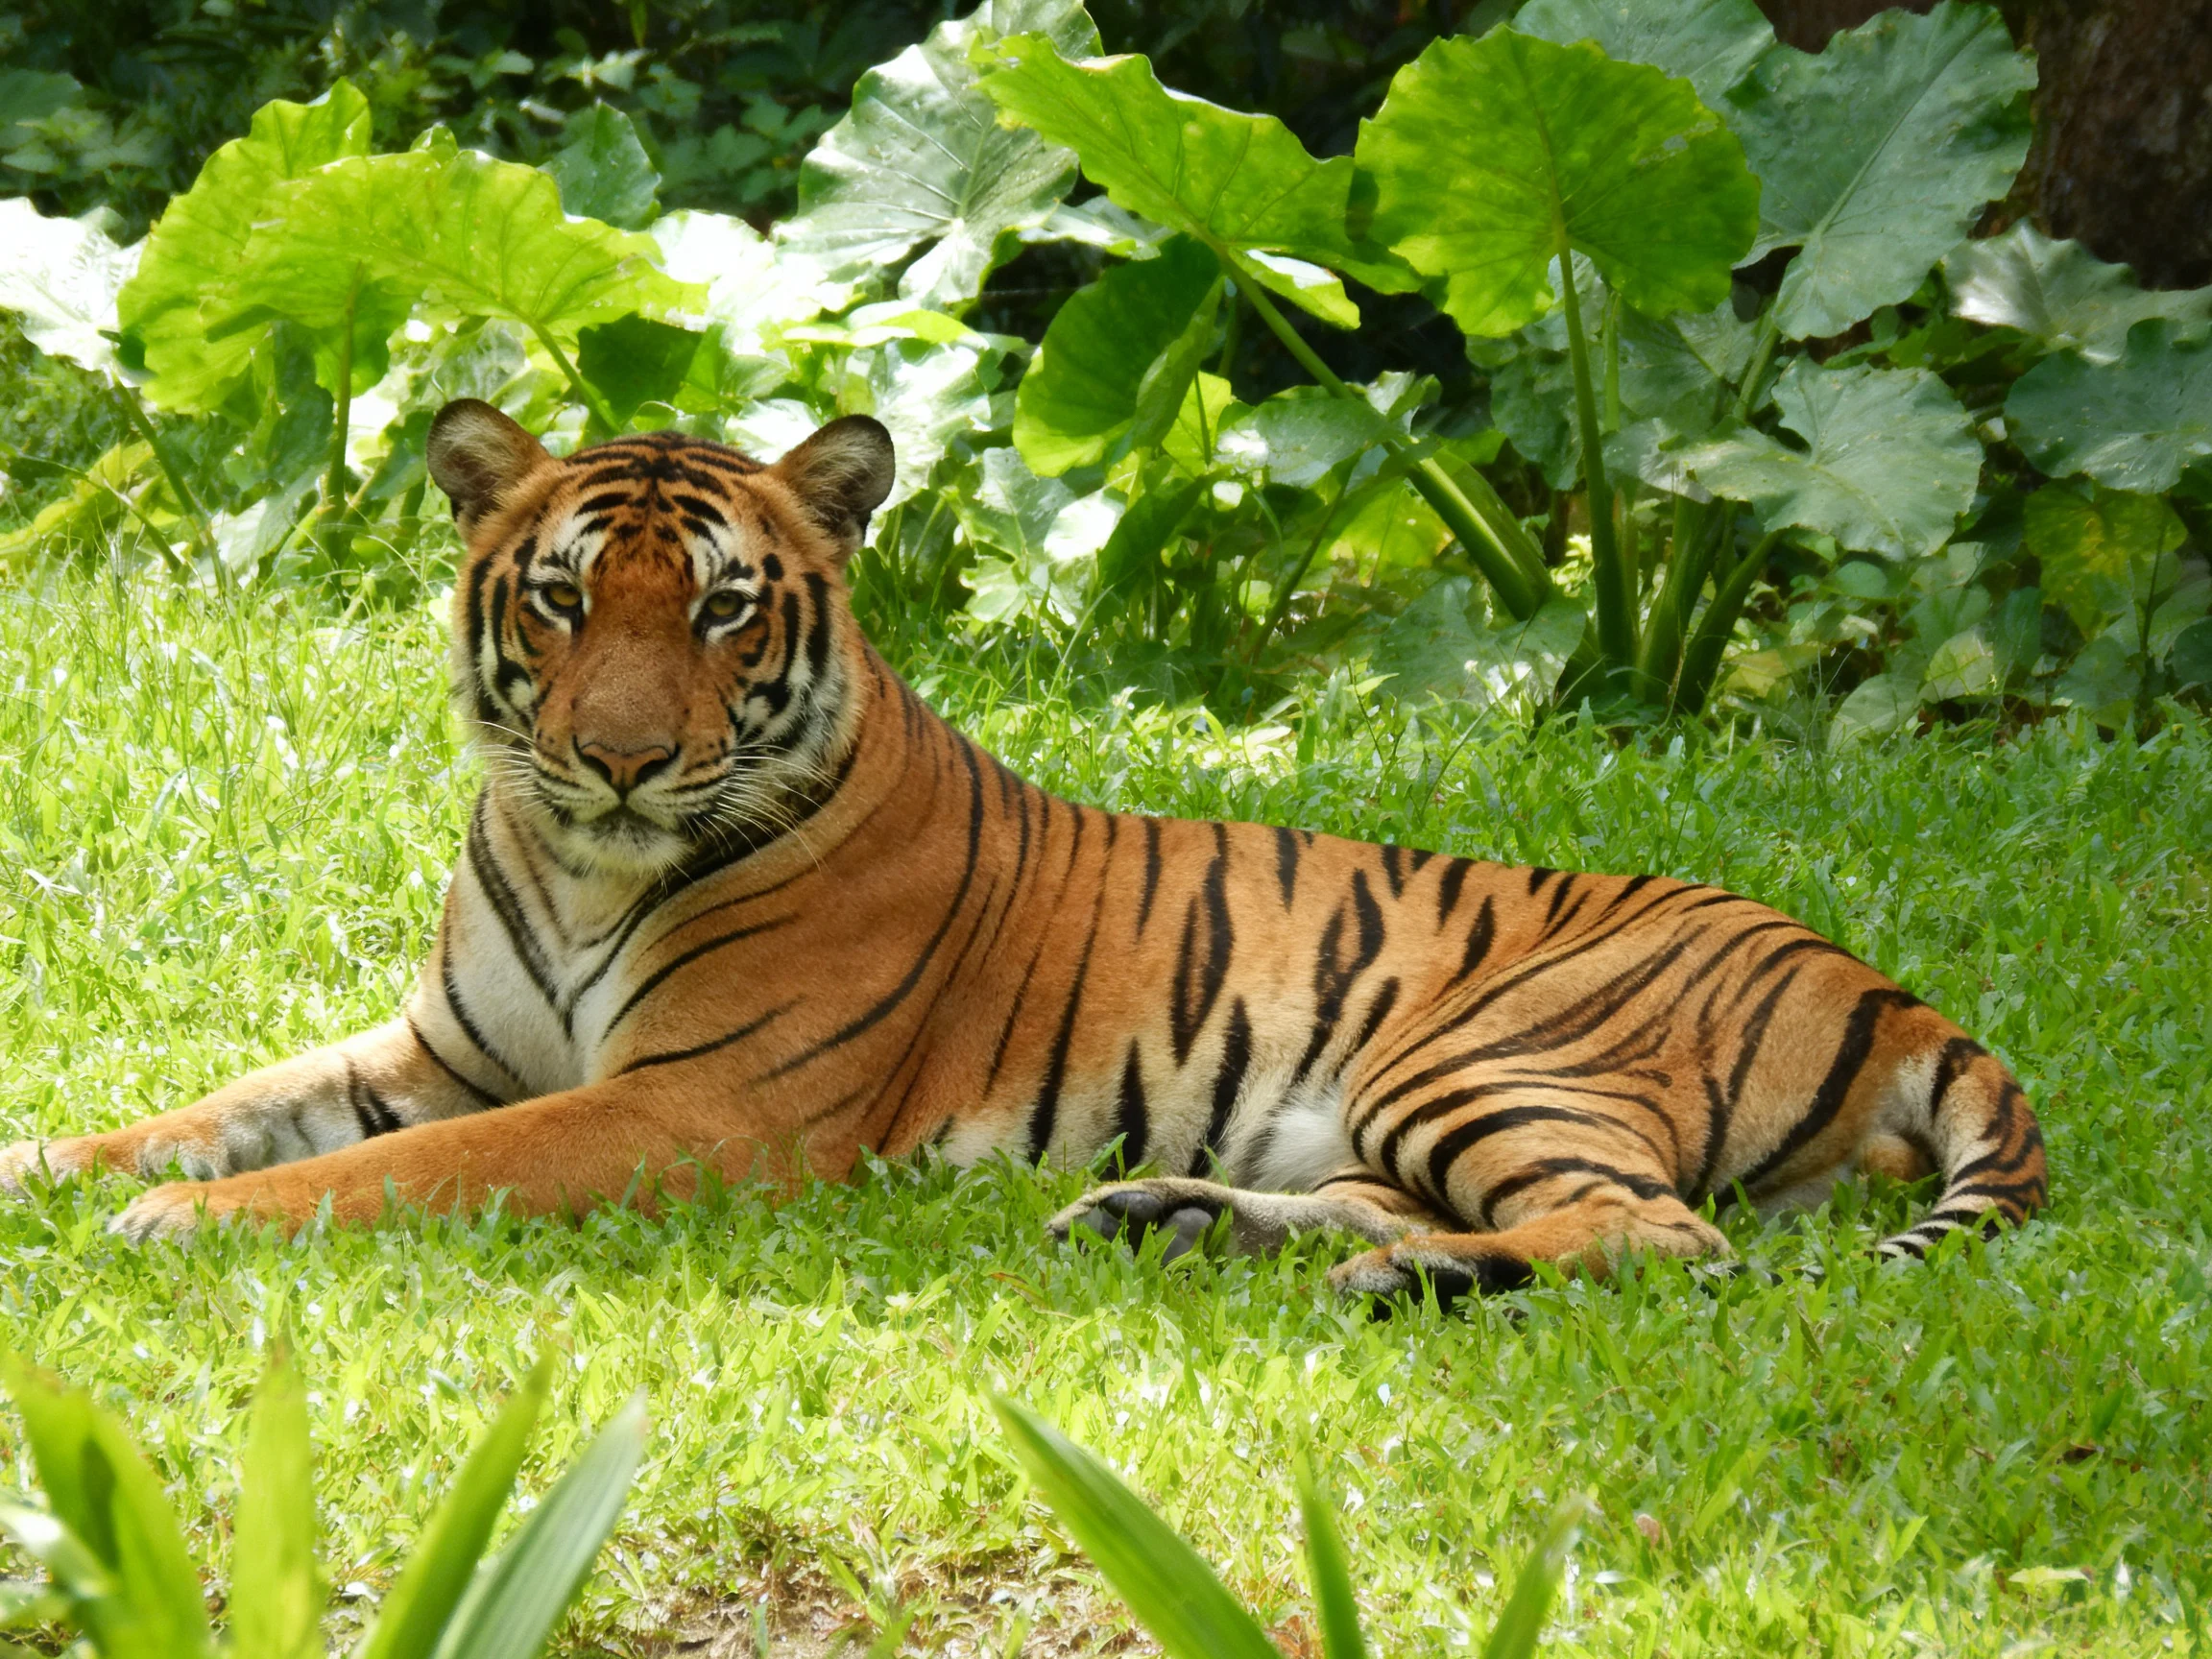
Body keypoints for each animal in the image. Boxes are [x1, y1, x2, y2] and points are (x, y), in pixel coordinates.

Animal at [0, 401, 2047, 1298]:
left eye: (724, 610)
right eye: (567, 597)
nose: (620, 756)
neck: (581, 860)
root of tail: (1877, 977)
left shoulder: (690, 1105)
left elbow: (399, 1172)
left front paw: (177, 1226)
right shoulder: (437, 1048)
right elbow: (218, 1103)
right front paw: (55, 1162)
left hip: (1483, 1051)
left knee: (1652, 1231)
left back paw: (1380, 1283)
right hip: (1395, 1110)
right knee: (1486, 1208)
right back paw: (1180, 1220)